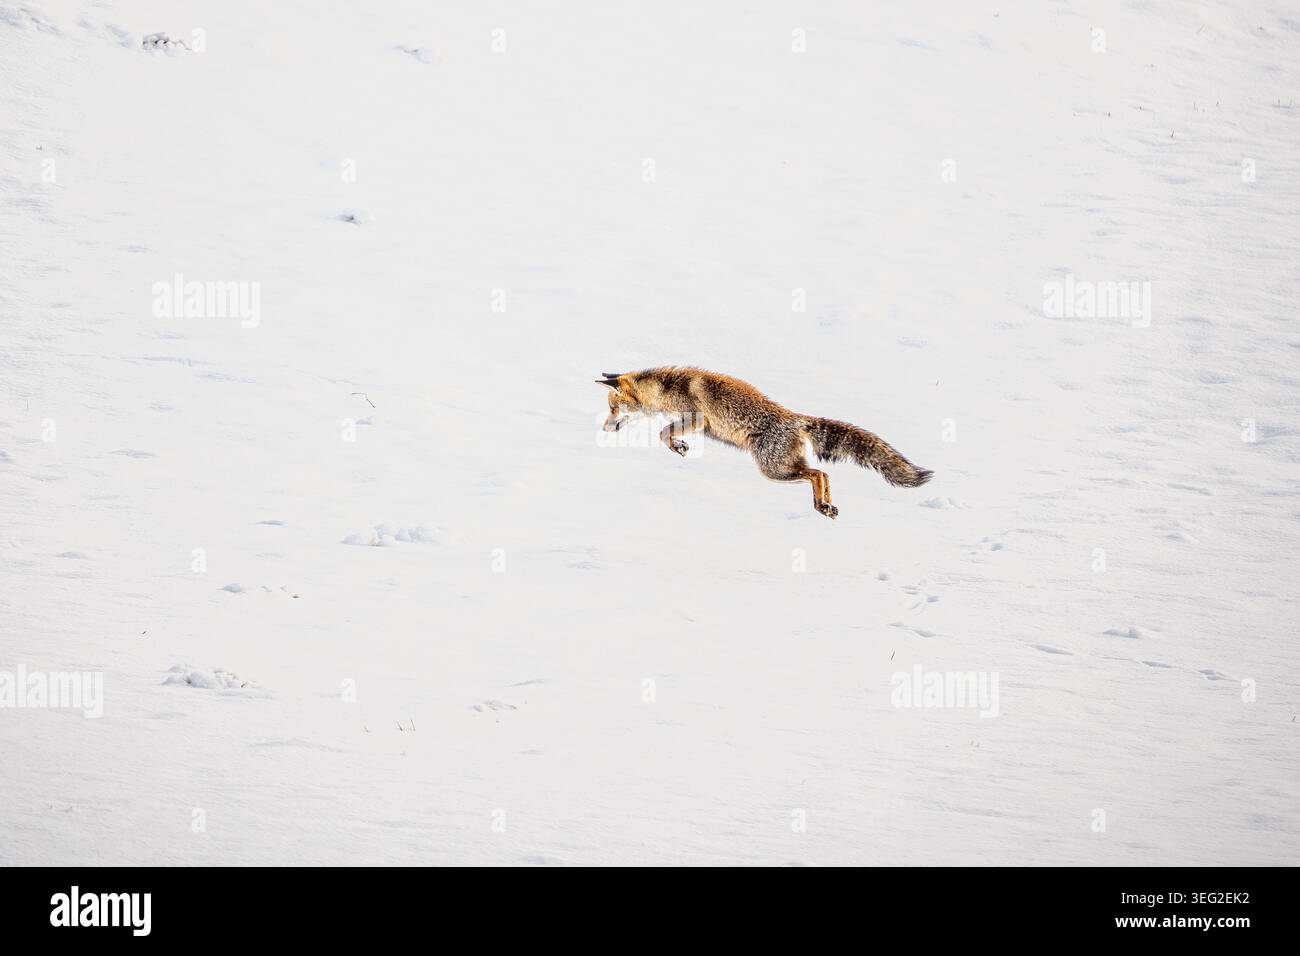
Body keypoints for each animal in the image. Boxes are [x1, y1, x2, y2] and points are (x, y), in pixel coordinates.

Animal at [597, 367, 932, 519]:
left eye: (613, 408)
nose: (603, 428)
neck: (664, 389)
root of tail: (795, 419)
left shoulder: (696, 419)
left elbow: (662, 434)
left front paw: (679, 447)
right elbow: (663, 434)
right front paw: (679, 447)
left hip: (773, 470)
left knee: (818, 473)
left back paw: (821, 505)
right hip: (781, 469)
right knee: (823, 473)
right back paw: (825, 506)